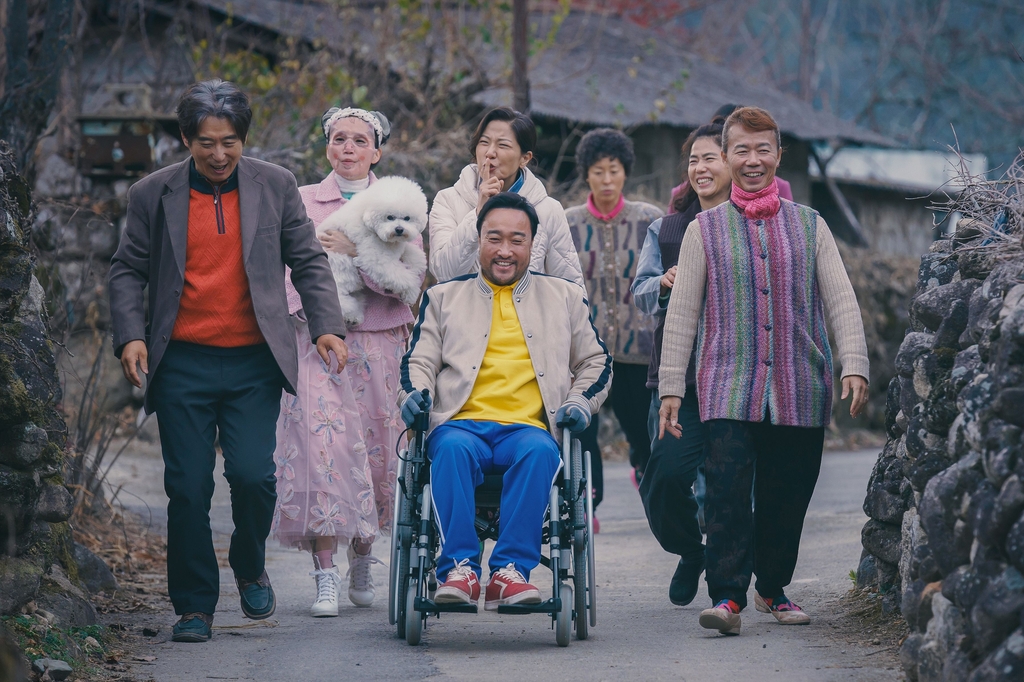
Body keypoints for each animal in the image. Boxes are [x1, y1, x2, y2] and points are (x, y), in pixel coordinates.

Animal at [319, 174, 432, 325]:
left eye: (407, 218)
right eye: (390, 217)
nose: (399, 229)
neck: (366, 214)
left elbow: (412, 253)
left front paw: (417, 264)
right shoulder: (376, 258)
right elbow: (404, 278)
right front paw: (411, 293)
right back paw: (350, 315)